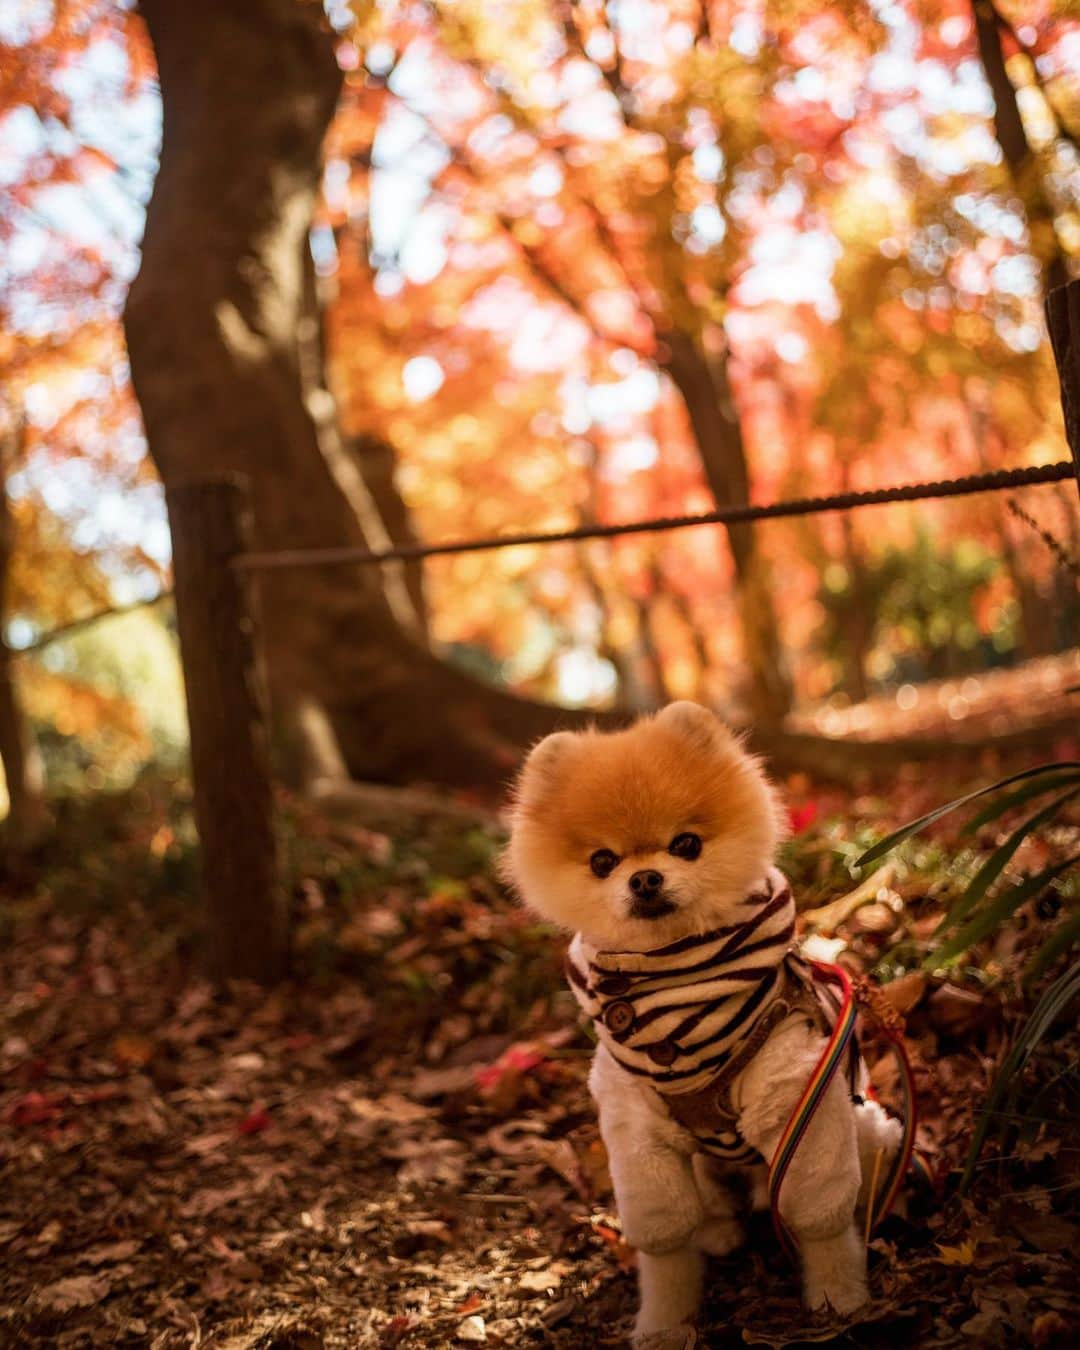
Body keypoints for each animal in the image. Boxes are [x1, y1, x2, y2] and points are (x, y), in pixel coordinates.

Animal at [507, 702, 901, 1344]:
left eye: (686, 844)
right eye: (602, 862)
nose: (645, 879)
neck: (678, 984)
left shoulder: (798, 1103)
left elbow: (817, 1215)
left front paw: (837, 1295)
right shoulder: (636, 1128)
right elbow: (664, 1238)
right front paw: (666, 1324)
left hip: (867, 1126)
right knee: (711, 1202)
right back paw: (719, 1230)